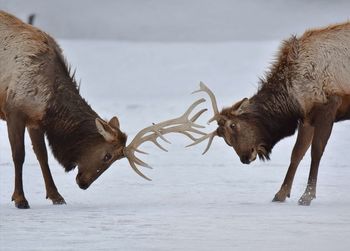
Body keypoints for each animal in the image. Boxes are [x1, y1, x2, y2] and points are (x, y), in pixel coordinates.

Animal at [0, 11, 208, 208]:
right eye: (107, 155)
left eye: (117, 159)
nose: (83, 184)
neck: (49, 99)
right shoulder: (14, 111)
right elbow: (19, 155)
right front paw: (20, 199)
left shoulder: (35, 120)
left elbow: (42, 156)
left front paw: (56, 196)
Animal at [191, 21, 350, 206]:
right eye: (224, 138)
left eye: (234, 125)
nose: (245, 158)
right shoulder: (307, 116)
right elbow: (296, 153)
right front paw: (281, 194)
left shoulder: (329, 104)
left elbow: (316, 151)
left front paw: (307, 196)